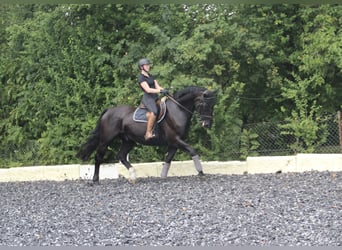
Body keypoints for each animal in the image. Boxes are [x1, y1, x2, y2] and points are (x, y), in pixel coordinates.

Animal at [77, 86, 216, 184]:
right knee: (98, 157)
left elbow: (168, 159)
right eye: (203, 104)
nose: (207, 124)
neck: (178, 110)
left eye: (212, 105)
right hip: (106, 140)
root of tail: (108, 111)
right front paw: (201, 171)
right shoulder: (175, 140)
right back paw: (95, 180)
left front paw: (162, 176)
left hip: (129, 141)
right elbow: (192, 150)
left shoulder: (174, 143)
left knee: (121, 156)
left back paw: (133, 177)